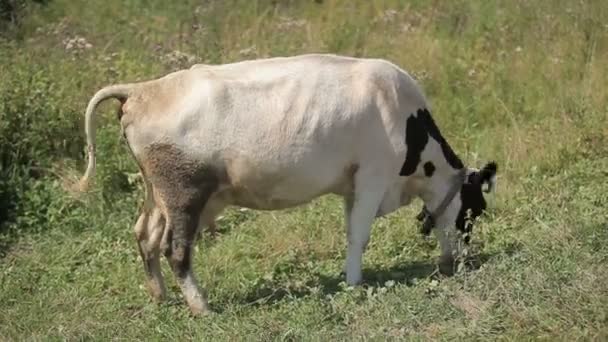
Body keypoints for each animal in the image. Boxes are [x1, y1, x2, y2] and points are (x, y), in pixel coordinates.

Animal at [79, 52, 498, 316]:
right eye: (474, 210)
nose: (462, 263)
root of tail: (142, 90)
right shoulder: (373, 175)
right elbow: (359, 235)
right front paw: (355, 285)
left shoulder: (352, 184)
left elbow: (351, 231)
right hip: (184, 192)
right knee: (175, 250)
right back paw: (202, 307)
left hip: (158, 193)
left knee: (145, 235)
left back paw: (160, 297)